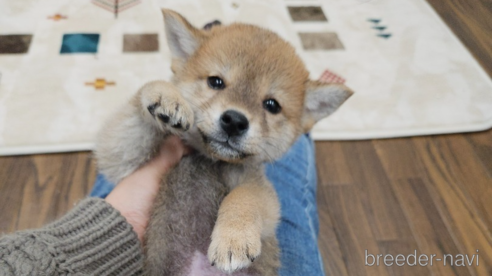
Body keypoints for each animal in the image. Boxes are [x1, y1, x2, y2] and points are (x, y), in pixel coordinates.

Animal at [94, 8, 352, 276]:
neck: (210, 160)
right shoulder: (123, 158)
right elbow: (138, 107)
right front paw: (165, 96)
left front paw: (234, 238)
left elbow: (243, 199)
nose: (235, 121)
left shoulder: (260, 191)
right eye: (215, 82)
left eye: (272, 105)